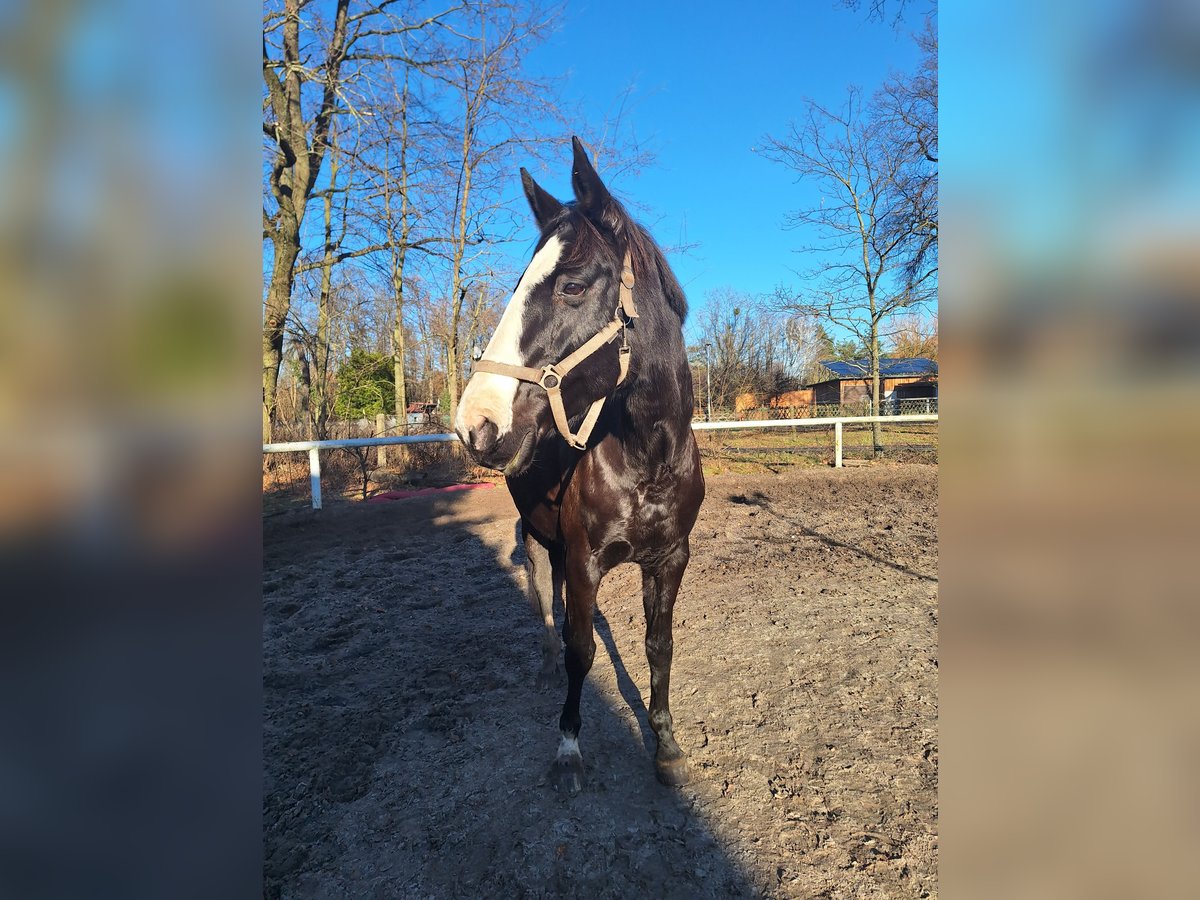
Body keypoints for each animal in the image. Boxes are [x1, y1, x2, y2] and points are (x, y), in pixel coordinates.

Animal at [456, 135, 700, 796]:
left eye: (570, 286)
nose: (474, 422)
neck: (647, 463)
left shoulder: (670, 559)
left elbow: (659, 646)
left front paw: (667, 746)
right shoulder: (586, 558)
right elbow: (581, 651)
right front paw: (568, 747)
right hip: (540, 541)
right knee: (545, 601)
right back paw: (544, 668)